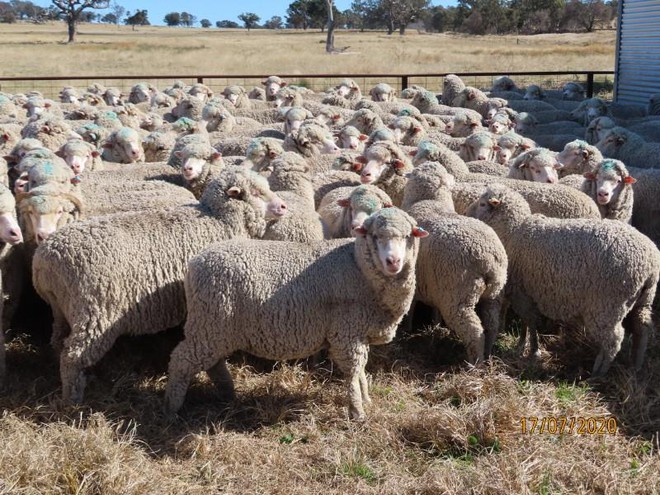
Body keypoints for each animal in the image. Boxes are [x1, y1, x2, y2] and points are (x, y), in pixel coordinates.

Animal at [165, 205, 428, 418]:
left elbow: (361, 370)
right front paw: (357, 412)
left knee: (213, 362)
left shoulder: (358, 332)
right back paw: (171, 409)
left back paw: (228, 392)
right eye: (374, 236)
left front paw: (366, 399)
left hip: (214, 327)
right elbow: (353, 373)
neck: (358, 266)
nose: (393, 262)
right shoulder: (347, 332)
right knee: (181, 361)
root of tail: (194, 264)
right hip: (209, 322)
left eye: (407, 236)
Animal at [402, 161, 506, 362]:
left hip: (458, 296)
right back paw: (488, 354)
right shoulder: (432, 283)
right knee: (492, 324)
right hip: (494, 294)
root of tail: (489, 258)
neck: (429, 201)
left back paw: (475, 363)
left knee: (474, 331)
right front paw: (434, 325)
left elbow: (410, 307)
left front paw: (407, 328)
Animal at [470, 185, 660, 376]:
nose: (467, 212)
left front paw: (531, 349)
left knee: (613, 340)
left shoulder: (521, 292)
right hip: (644, 299)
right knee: (642, 328)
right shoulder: (527, 293)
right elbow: (527, 322)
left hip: (608, 305)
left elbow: (530, 321)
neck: (513, 231)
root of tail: (651, 263)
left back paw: (598, 372)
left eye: (482, 203)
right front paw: (524, 345)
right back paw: (636, 364)